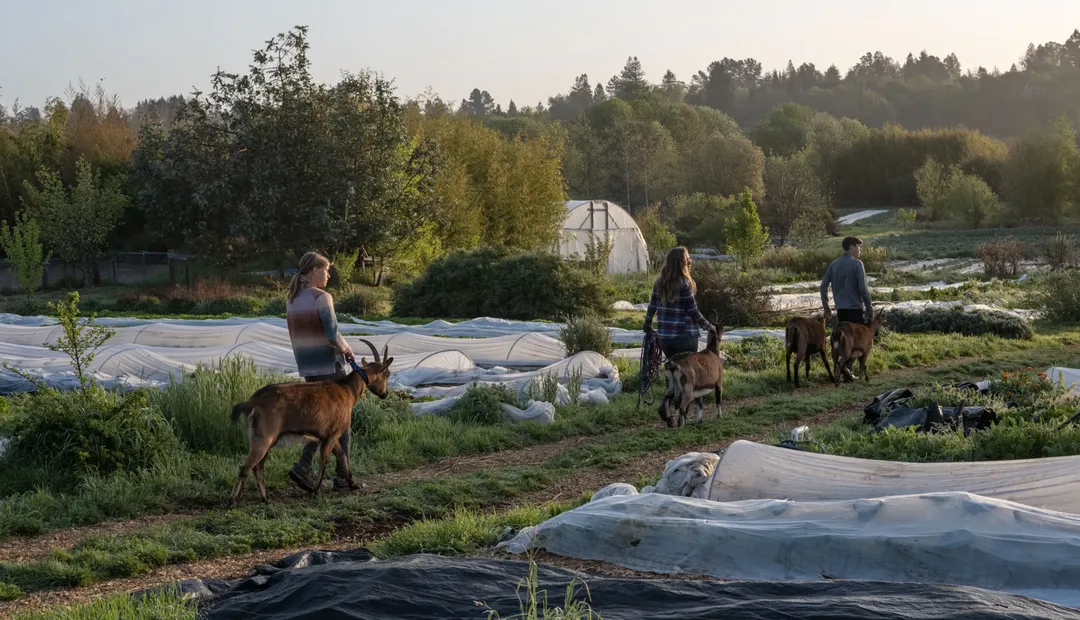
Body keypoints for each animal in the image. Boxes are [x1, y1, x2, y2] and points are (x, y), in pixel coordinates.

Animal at [226, 341, 393, 509]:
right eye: (387, 374)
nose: (385, 394)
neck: (347, 390)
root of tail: (254, 401)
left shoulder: (329, 435)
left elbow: (341, 455)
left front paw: (353, 484)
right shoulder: (333, 433)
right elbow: (324, 460)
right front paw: (315, 490)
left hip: (260, 436)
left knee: (258, 467)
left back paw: (265, 499)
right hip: (265, 437)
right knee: (246, 467)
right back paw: (233, 501)